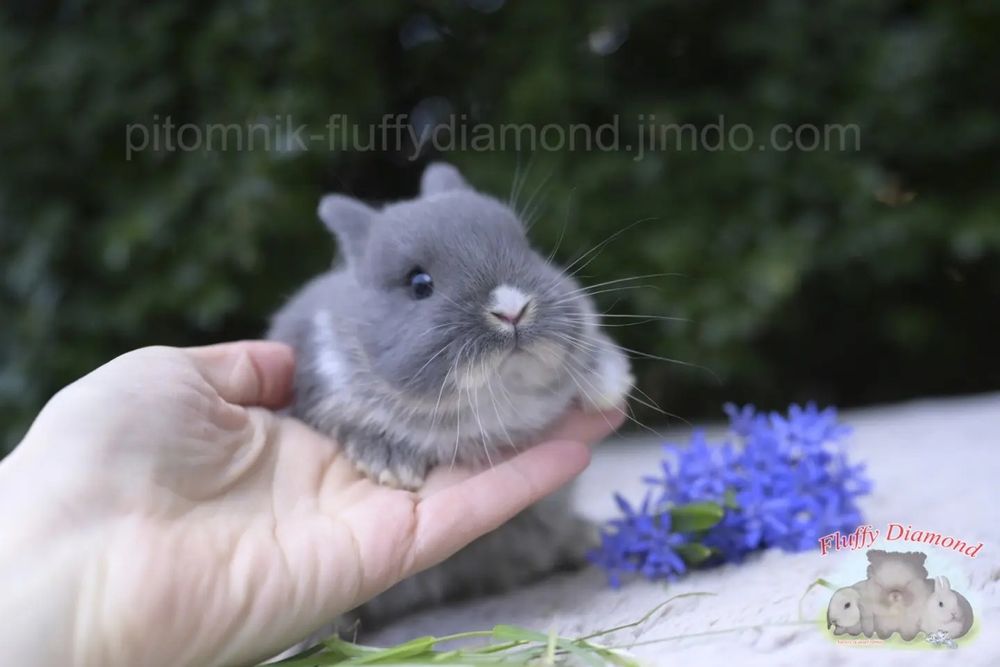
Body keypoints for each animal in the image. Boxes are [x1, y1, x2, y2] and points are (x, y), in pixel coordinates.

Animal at [268, 163, 633, 641]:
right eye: (419, 284)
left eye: (526, 247)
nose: (512, 310)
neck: (496, 394)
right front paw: (390, 464)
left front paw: (610, 382)